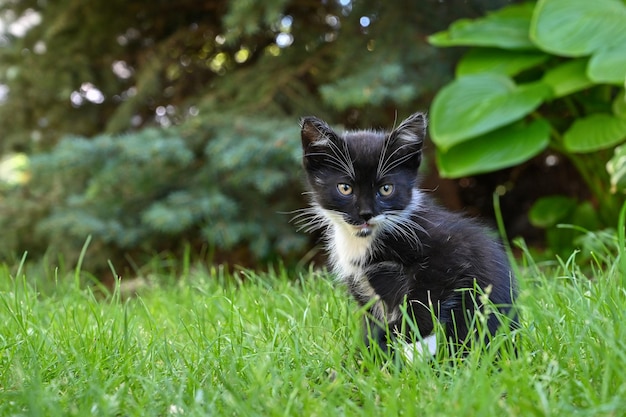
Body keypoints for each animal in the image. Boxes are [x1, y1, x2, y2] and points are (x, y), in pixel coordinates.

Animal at [298, 111, 516, 358]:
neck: (365, 239)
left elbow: (425, 296)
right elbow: (372, 322)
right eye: (345, 188)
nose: (366, 214)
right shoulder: (359, 284)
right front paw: (369, 355)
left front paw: (408, 339)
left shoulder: (449, 252)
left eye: (386, 189)